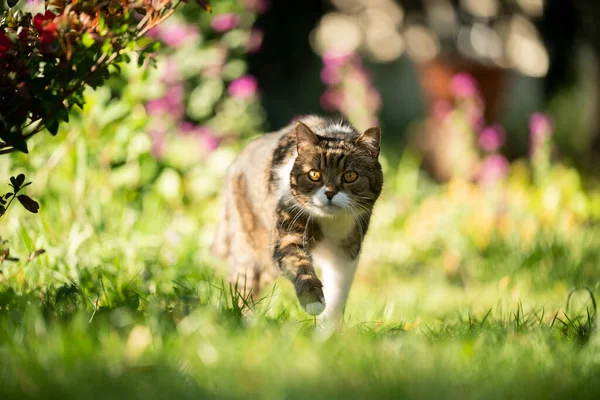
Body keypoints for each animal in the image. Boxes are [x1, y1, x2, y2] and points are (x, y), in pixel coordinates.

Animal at [214, 115, 384, 328]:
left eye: (350, 175)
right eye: (314, 174)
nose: (329, 193)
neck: (329, 222)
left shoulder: (346, 251)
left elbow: (337, 292)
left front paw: (327, 330)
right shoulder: (288, 230)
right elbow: (298, 262)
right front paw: (312, 300)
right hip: (248, 249)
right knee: (243, 286)